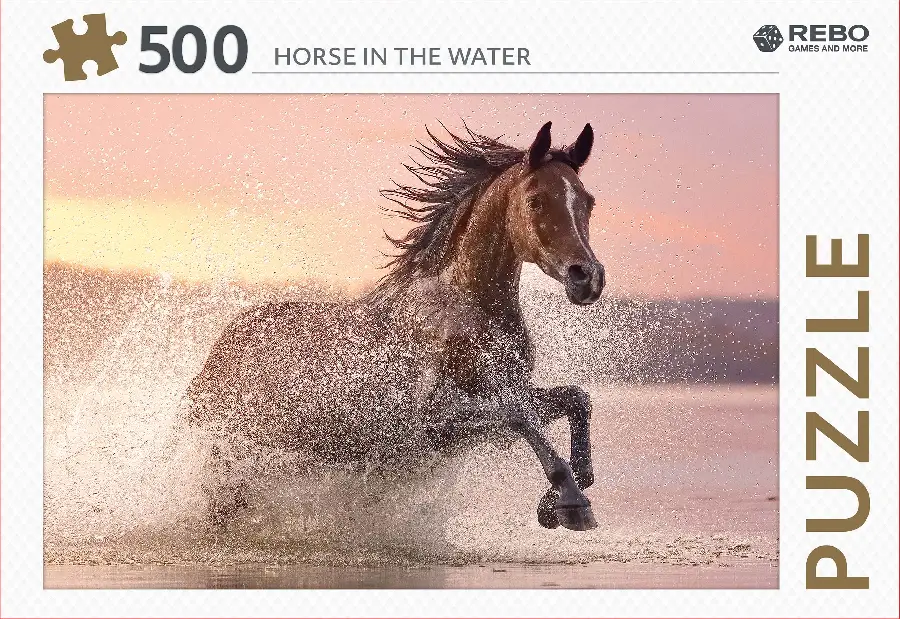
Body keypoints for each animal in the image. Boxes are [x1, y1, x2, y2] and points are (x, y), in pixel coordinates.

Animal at [187, 121, 605, 531]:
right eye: (536, 200)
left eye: (587, 201)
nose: (588, 277)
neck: (463, 315)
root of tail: (217, 352)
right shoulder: (433, 424)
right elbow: (520, 416)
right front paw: (571, 504)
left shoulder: (511, 394)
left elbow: (577, 400)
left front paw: (554, 502)